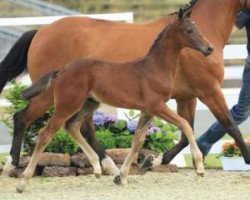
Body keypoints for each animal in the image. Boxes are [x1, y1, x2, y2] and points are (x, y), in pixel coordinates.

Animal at [17, 9, 213, 192]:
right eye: (189, 30)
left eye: (198, 28)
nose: (209, 48)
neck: (154, 68)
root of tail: (62, 70)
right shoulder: (157, 106)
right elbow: (185, 125)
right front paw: (200, 169)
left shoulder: (147, 111)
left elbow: (137, 141)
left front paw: (122, 176)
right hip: (68, 104)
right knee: (46, 133)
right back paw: (23, 181)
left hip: (89, 103)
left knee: (72, 126)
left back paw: (97, 168)